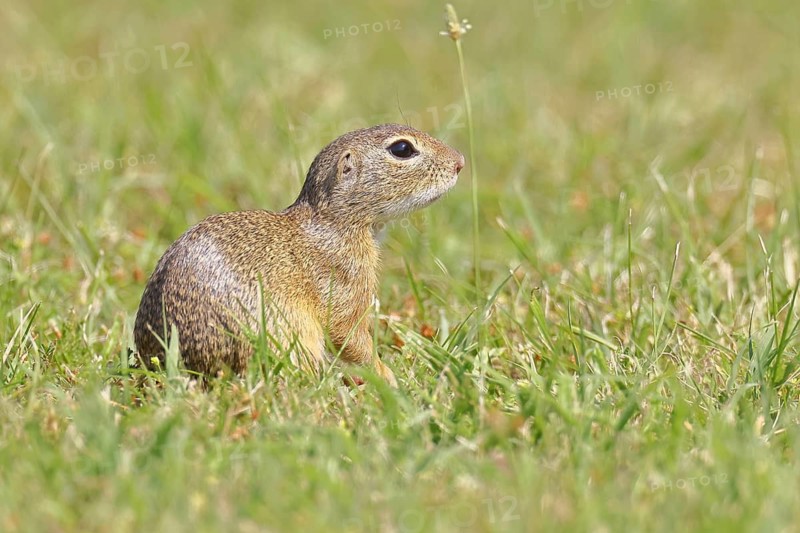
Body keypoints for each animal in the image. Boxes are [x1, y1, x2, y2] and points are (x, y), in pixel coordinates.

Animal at [133, 123, 464, 385]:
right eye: (402, 148)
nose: (460, 162)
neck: (335, 223)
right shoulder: (344, 282)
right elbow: (347, 334)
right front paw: (387, 376)